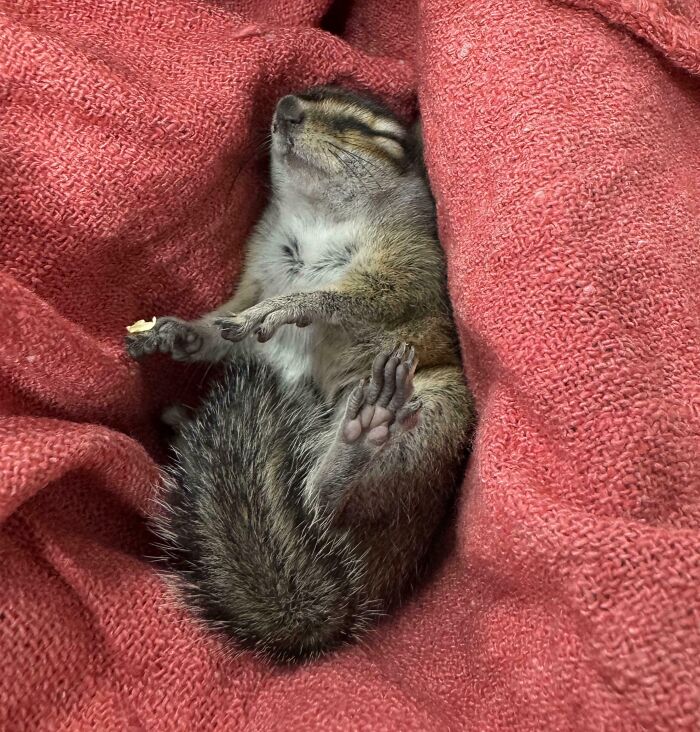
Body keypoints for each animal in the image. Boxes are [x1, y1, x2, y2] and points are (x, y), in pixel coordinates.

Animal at [126, 86, 475, 663]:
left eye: (375, 133)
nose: (286, 106)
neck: (317, 218)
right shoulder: (256, 273)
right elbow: (225, 327)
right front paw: (175, 333)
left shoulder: (410, 269)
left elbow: (348, 299)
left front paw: (292, 306)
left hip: (439, 405)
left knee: (325, 502)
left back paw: (361, 434)